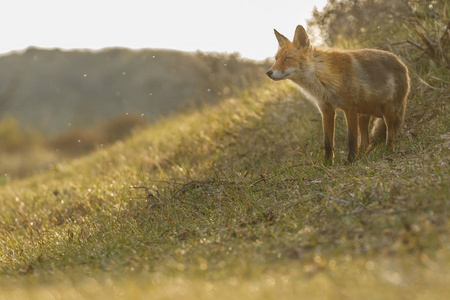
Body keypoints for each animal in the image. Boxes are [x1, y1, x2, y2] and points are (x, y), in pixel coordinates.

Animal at [268, 25, 410, 164]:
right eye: (276, 59)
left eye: (287, 59)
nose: (268, 72)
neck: (323, 79)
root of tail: (402, 63)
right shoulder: (326, 110)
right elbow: (328, 142)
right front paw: (327, 163)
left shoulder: (350, 108)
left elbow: (351, 139)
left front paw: (351, 160)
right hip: (364, 116)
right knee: (365, 141)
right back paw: (362, 158)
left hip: (388, 112)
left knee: (390, 134)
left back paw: (388, 151)